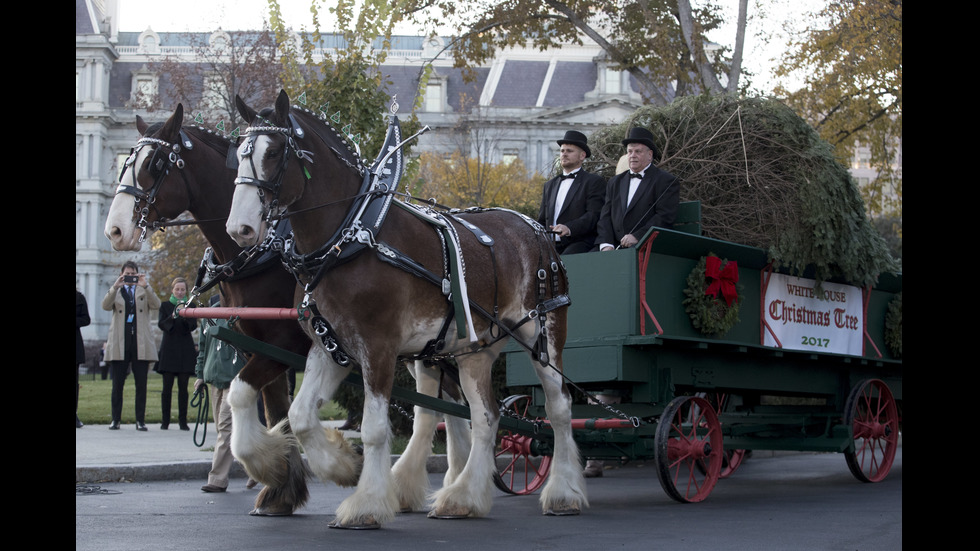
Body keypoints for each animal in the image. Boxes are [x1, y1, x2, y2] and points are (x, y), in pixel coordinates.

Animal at [226, 90, 584, 532]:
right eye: (238, 153)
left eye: (274, 152)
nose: (239, 228)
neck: (350, 237)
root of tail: (536, 228)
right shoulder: (331, 346)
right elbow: (300, 415)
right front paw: (341, 466)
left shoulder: (378, 346)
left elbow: (375, 429)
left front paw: (366, 503)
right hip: (472, 350)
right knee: (484, 416)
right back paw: (462, 496)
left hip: (543, 335)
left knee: (558, 407)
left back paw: (562, 492)